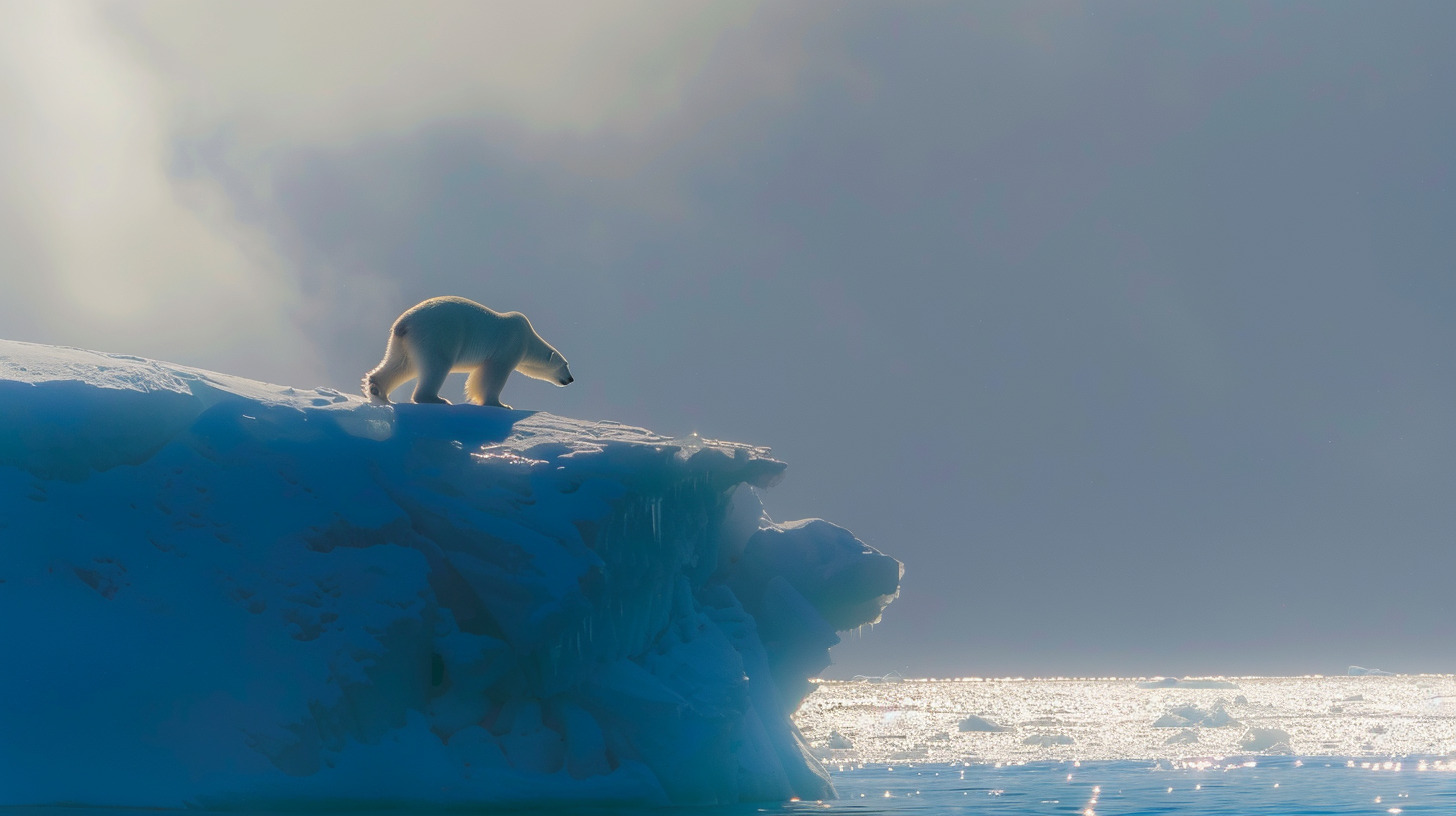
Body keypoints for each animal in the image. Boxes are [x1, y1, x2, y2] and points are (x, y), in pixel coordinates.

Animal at [361, 294, 570, 408]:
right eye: (565, 365)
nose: (571, 379)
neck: (528, 338)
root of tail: (403, 325)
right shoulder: (508, 346)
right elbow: (493, 374)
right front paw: (500, 404)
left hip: (401, 343)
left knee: (401, 365)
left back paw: (377, 389)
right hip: (437, 336)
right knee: (437, 365)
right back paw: (437, 399)